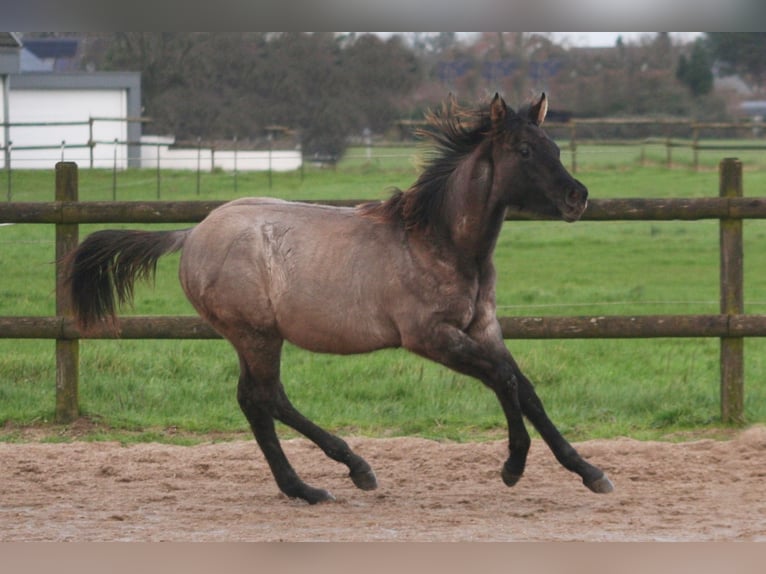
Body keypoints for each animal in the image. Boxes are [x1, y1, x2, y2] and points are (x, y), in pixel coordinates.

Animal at [67, 93, 616, 504]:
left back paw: (321, 480)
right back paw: (334, 478)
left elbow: (526, 388)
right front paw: (513, 466)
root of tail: (191, 233)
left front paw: (590, 472)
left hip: (253, 336)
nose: (578, 197)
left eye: (553, 145)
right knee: (263, 398)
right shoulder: (430, 337)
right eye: (523, 150)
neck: (440, 241)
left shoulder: (483, 327)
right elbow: (504, 380)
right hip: (255, 333)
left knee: (258, 399)